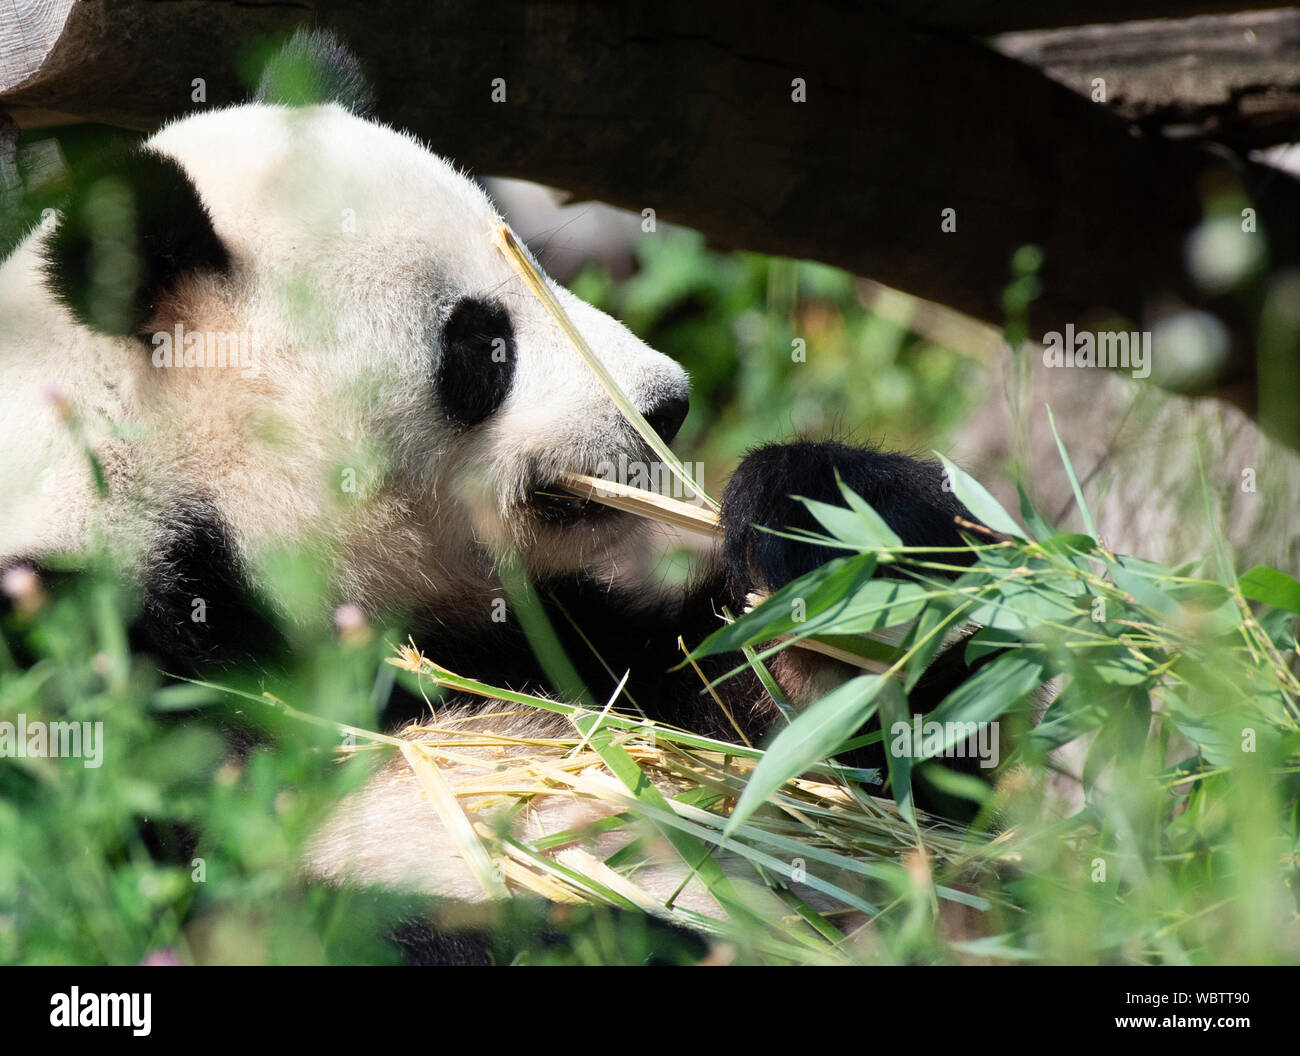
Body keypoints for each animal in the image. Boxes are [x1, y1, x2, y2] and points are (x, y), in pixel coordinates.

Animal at [0, 30, 982, 957]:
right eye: (482, 342)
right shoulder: (75, 655)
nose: (668, 402)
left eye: (535, 264)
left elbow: (808, 754)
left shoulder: (521, 641)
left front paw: (830, 525)